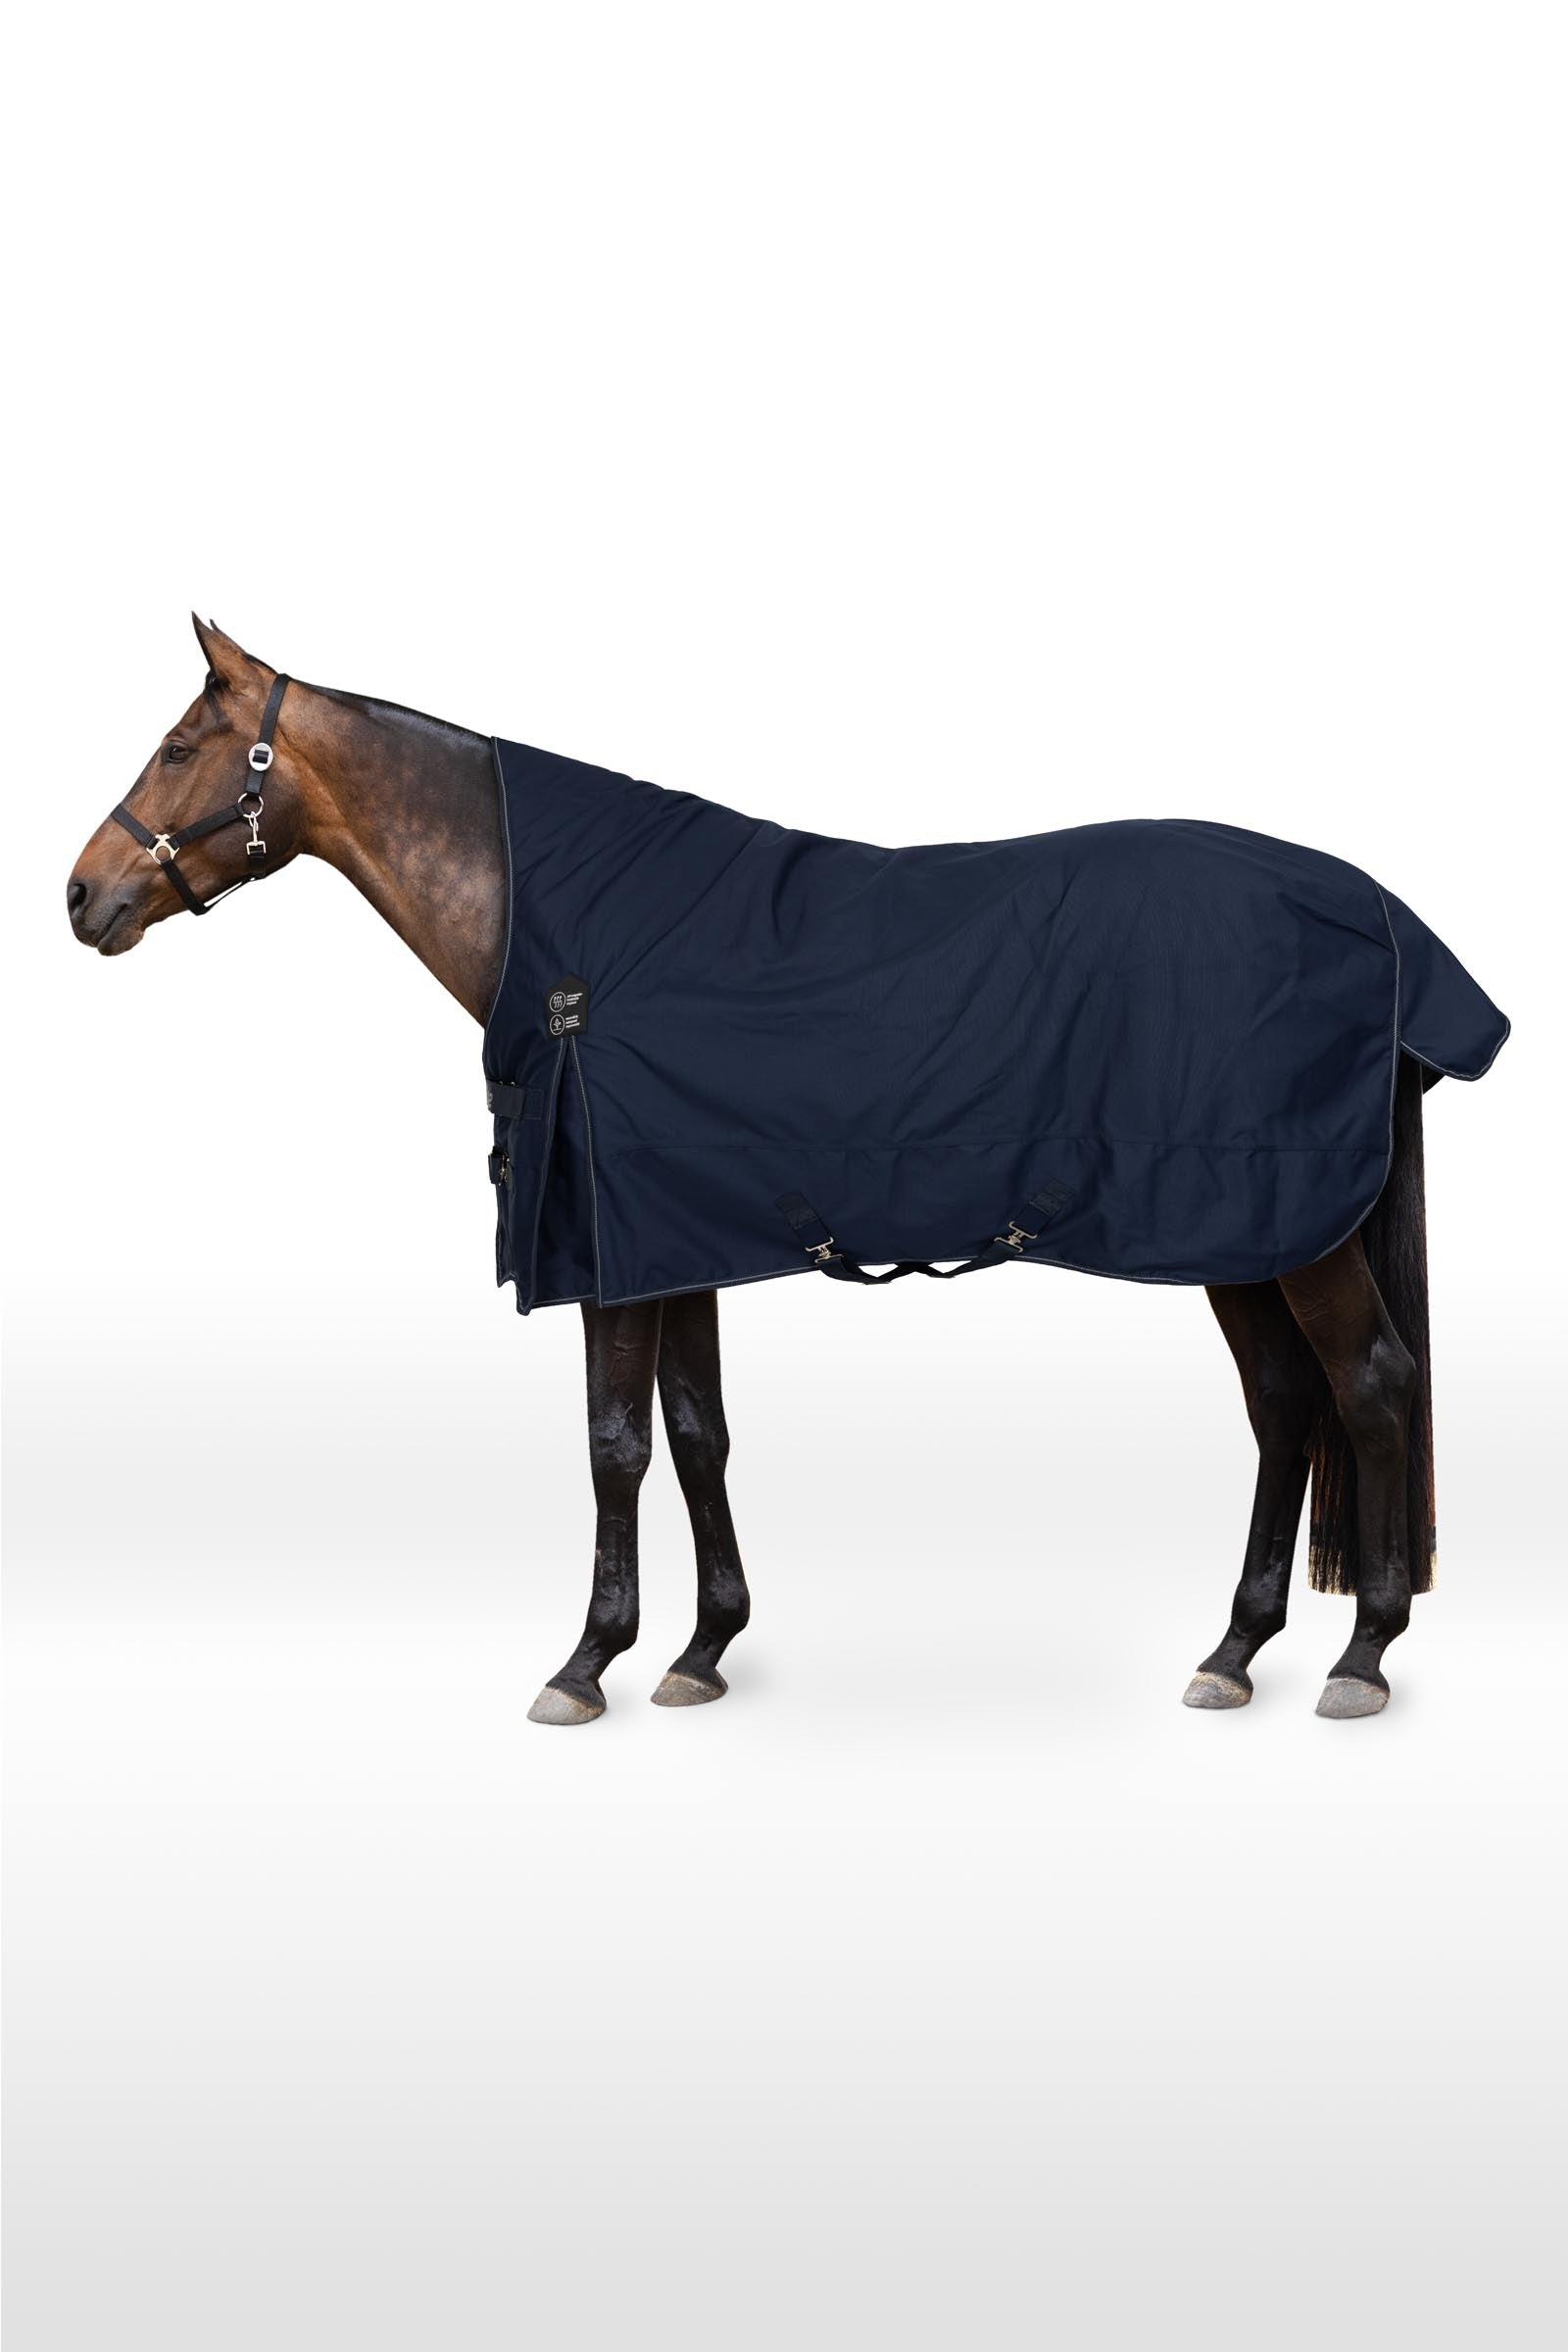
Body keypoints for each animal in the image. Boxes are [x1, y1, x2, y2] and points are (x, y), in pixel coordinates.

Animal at [66, 617, 1506, 1726]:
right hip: (1248, 1230)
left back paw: (1362, 1656)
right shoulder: (673, 1236)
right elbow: (695, 1433)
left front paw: (586, 1663)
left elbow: (612, 1445)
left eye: (181, 746)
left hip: (1296, 1228)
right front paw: (703, 1650)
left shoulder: (608, 1250)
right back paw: (1235, 1651)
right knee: (1284, 1403)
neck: (580, 945)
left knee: (1370, 1388)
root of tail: (1380, 916)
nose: (81, 897)